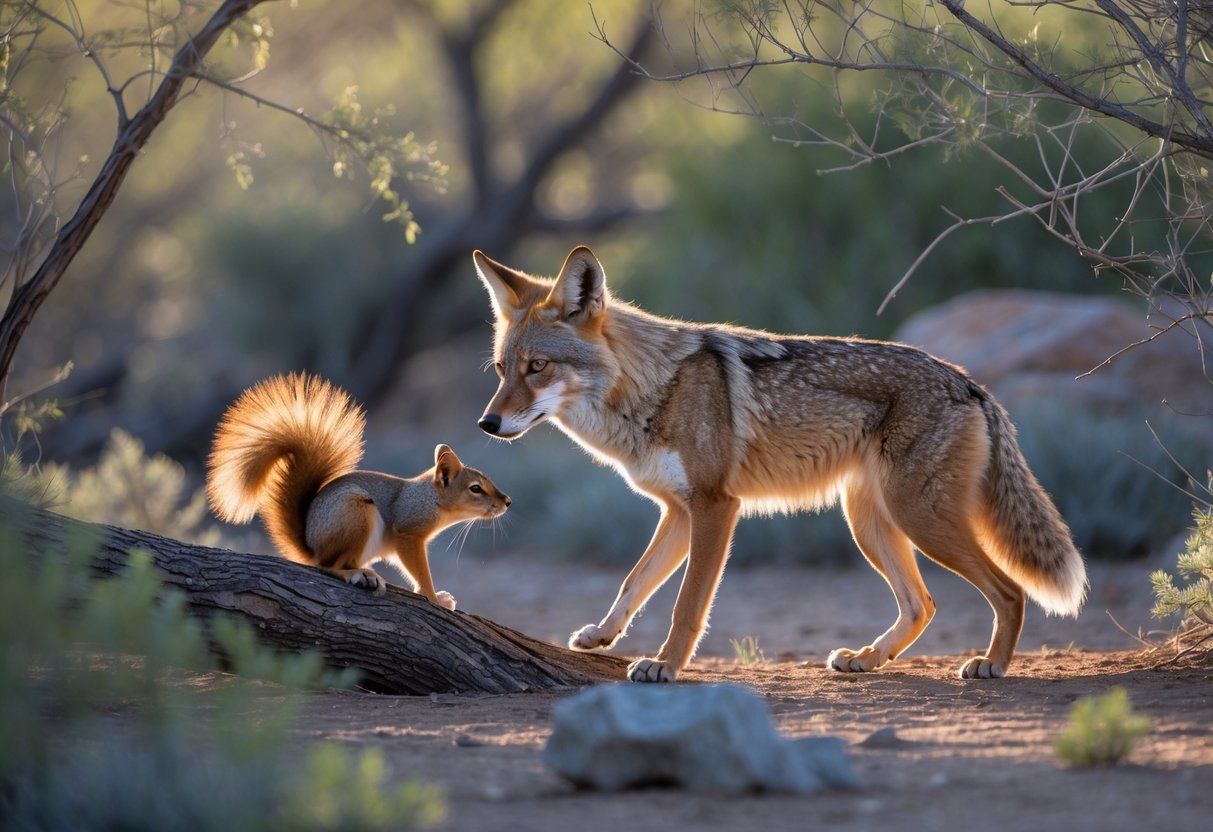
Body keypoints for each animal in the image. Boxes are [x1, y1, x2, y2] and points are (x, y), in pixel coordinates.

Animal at [206, 372, 510, 609]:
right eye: (475, 489)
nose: (507, 501)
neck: (433, 499)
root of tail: (312, 546)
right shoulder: (408, 530)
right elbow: (419, 570)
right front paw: (434, 598)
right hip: (355, 514)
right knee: (327, 566)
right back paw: (358, 574)